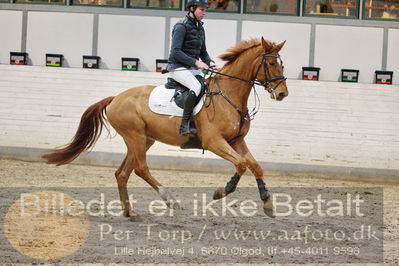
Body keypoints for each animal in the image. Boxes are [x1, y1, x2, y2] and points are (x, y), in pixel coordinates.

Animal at [43, 37, 288, 218]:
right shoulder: (214, 142)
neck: (228, 95)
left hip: (143, 139)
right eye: (271, 63)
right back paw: (169, 199)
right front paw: (221, 191)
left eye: (282, 64)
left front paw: (267, 203)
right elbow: (242, 164)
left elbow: (255, 166)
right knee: (141, 169)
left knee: (123, 173)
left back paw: (129, 212)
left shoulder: (236, 141)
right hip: (135, 136)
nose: (283, 93)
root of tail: (115, 98)